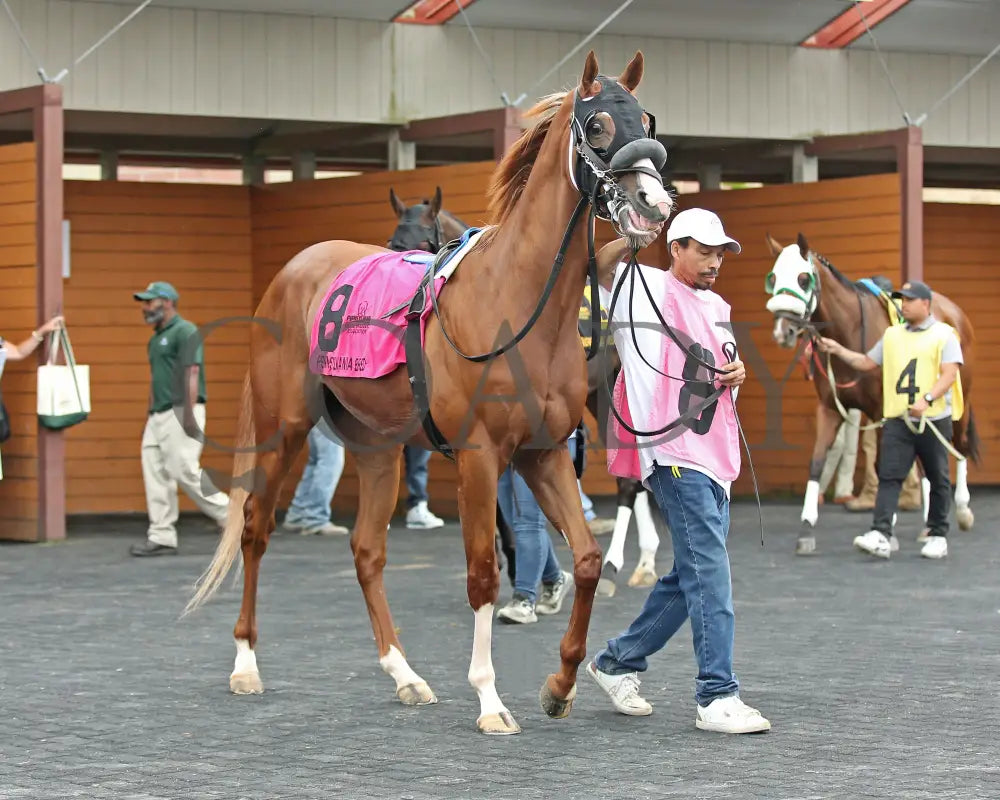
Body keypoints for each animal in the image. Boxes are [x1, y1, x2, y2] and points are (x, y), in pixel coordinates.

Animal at [188, 50, 672, 736]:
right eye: (599, 124)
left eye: (647, 120)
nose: (653, 202)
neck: (516, 300)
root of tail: (291, 272)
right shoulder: (480, 457)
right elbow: (482, 573)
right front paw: (491, 701)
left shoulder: (544, 452)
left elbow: (582, 560)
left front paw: (560, 685)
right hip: (285, 429)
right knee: (255, 529)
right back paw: (246, 663)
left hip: (377, 447)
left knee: (367, 550)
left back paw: (405, 674)